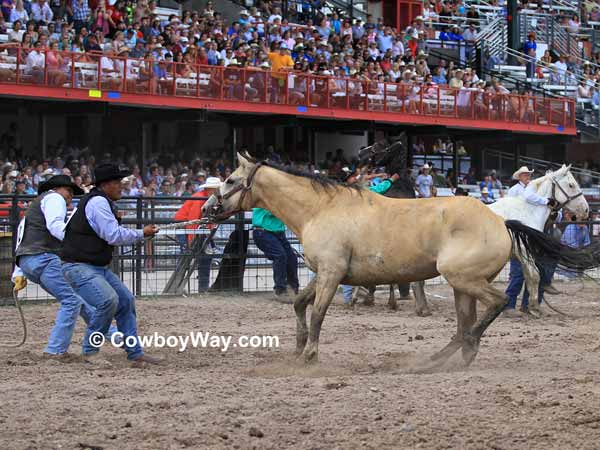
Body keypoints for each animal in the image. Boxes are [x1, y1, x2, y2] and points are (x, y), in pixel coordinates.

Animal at [490, 163, 588, 314]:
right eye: (571, 185)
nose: (586, 210)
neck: (527, 212)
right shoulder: (524, 251)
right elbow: (535, 275)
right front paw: (534, 307)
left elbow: (529, 277)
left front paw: (529, 306)